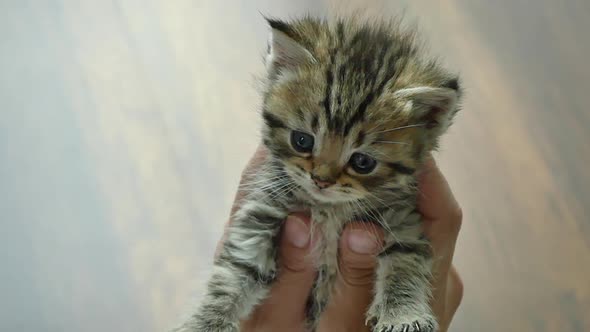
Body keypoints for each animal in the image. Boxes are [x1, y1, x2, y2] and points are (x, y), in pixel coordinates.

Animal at [176, 15, 462, 332]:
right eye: (302, 141)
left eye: (362, 162)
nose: (321, 180)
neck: (328, 209)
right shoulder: (263, 210)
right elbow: (234, 274)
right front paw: (205, 322)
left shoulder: (402, 220)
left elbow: (405, 264)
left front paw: (403, 314)